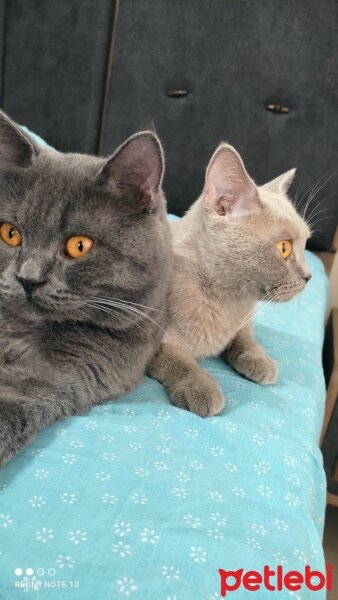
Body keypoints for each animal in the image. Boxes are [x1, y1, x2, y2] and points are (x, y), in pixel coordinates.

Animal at [148, 144, 312, 418]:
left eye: (305, 244)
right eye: (284, 248)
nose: (309, 276)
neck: (227, 300)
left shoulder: (241, 322)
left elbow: (244, 336)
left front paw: (259, 360)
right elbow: (176, 360)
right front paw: (201, 387)